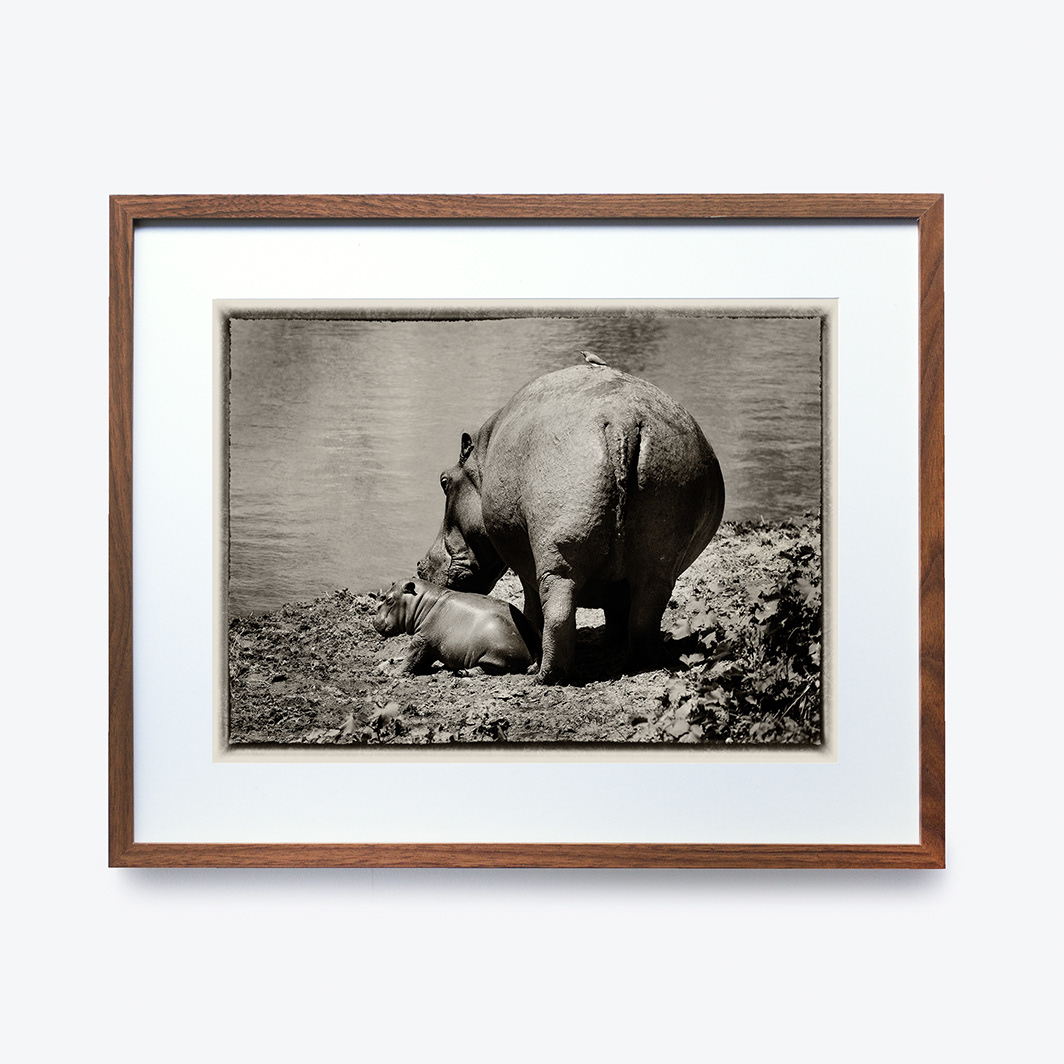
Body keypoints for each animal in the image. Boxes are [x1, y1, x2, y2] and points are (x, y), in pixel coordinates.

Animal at [372, 577, 538, 674]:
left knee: (489, 669)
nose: (374, 621)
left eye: (389, 599)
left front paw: (393, 673)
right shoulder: (431, 646)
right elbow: (422, 659)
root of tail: (533, 651)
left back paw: (463, 672)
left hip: (494, 652)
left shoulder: (421, 639)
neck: (421, 602)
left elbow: (411, 657)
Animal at [418, 364, 725, 684]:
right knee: (646, 612)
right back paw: (641, 662)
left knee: (558, 612)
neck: (481, 459)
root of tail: (622, 422)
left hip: (557, 557)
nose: (420, 566)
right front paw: (611, 644)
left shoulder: (526, 565)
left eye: (443, 481)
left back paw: (544, 674)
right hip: (658, 559)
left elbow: (532, 608)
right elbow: (617, 609)